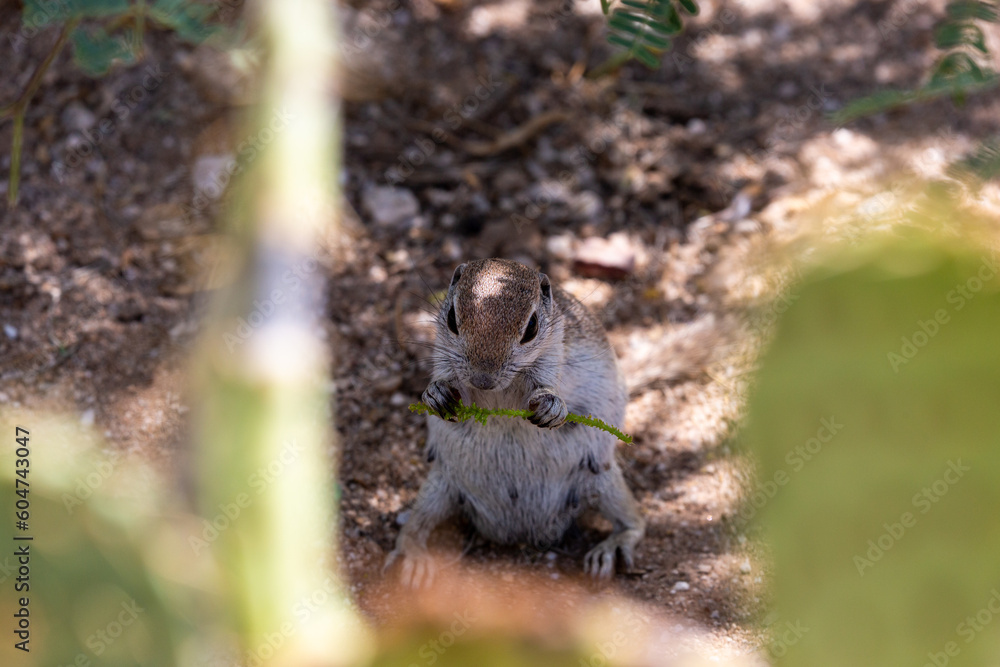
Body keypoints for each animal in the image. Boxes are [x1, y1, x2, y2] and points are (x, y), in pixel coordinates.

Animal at [386, 258, 645, 585]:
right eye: (452, 319)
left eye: (531, 327)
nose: (483, 379)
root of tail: (518, 532)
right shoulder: (445, 362)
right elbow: (449, 387)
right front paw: (434, 394)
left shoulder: (552, 357)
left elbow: (549, 390)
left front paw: (553, 408)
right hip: (438, 487)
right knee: (414, 526)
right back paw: (414, 557)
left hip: (603, 482)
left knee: (634, 521)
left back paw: (612, 547)